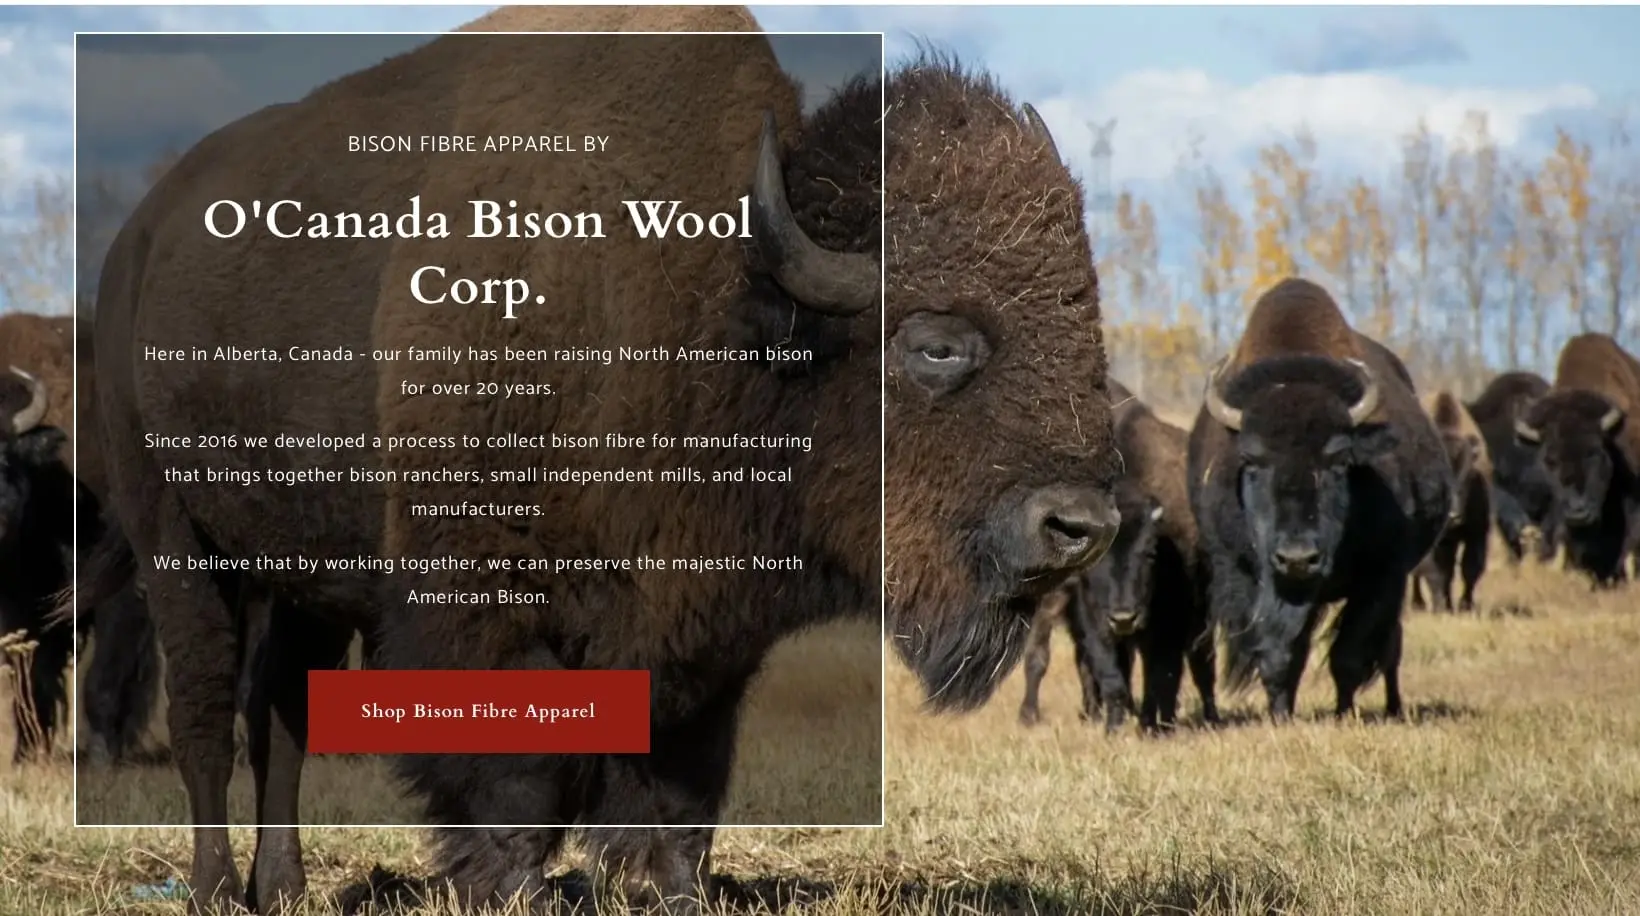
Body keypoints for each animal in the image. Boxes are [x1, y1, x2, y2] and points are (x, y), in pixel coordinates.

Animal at [82, 9, 1121, 915]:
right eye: (936, 345)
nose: (1082, 526)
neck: (721, 305)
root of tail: (136, 243)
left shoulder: (701, 641)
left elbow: (679, 792)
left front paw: (669, 891)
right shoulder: (486, 612)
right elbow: (518, 780)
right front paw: (511, 890)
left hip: (303, 577)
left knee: (282, 719)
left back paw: (286, 889)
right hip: (178, 545)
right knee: (207, 719)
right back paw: (217, 890)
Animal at [1187, 277, 1451, 721]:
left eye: (1340, 461)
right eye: (1251, 461)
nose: (1298, 557)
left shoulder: (1383, 575)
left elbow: (1351, 654)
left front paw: (1344, 713)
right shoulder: (1248, 575)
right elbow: (1279, 654)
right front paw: (1280, 715)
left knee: (1390, 650)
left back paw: (1393, 708)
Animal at [1410, 390, 1493, 612]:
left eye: (1468, 477)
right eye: (1430, 477)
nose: (1453, 516)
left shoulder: (1478, 532)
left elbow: (1470, 568)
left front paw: (1465, 606)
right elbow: (1435, 573)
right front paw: (1440, 607)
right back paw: (1418, 603)